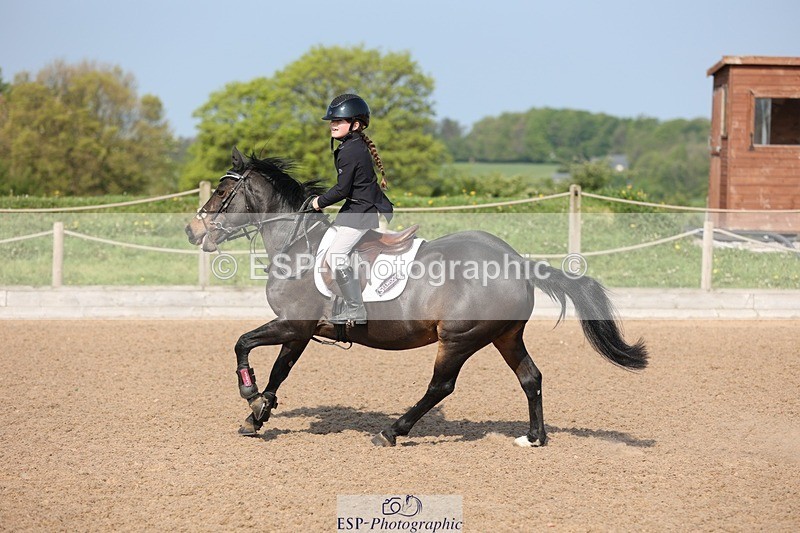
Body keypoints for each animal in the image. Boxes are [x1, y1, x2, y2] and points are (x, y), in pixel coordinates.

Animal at [185, 147, 648, 447]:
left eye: (221, 193)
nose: (192, 231)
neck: (296, 245)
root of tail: (517, 262)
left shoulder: (292, 323)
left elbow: (242, 343)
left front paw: (248, 394)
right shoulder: (299, 331)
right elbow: (280, 371)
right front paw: (257, 415)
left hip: (458, 338)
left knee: (441, 385)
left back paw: (392, 432)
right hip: (505, 336)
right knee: (531, 378)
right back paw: (534, 437)